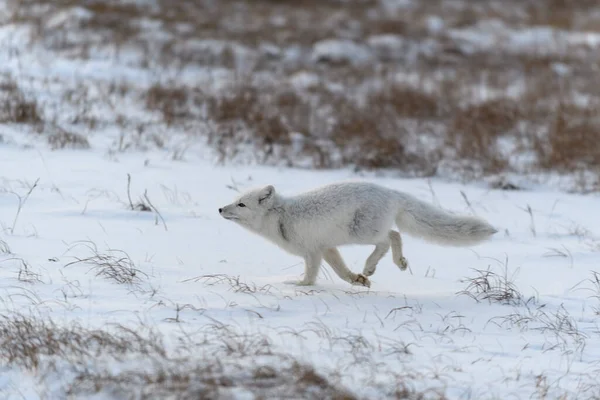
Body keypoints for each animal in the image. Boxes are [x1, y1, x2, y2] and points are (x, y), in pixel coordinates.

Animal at [219, 181, 496, 288]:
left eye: (241, 205)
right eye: (234, 201)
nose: (220, 208)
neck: (280, 218)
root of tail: (391, 192)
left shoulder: (311, 252)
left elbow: (310, 276)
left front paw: (297, 285)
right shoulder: (326, 248)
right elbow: (341, 271)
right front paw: (357, 281)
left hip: (362, 233)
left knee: (391, 237)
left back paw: (374, 265)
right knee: (394, 234)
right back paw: (393, 264)